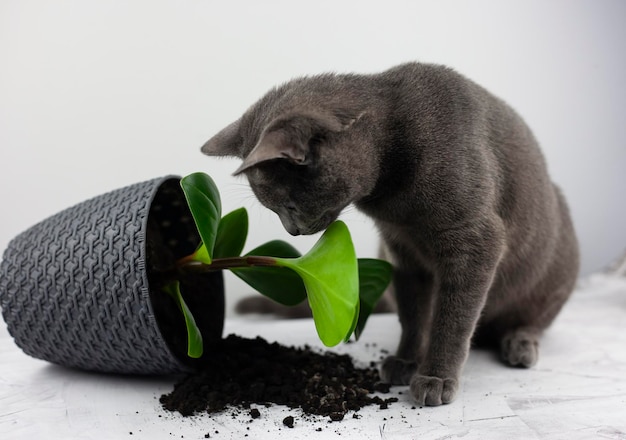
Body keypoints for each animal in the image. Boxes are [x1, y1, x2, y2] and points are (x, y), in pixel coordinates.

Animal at [200, 62, 576, 406]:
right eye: (277, 210)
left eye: (288, 206)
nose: (291, 231)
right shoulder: (401, 249)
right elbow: (413, 313)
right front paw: (406, 360)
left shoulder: (475, 240)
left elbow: (453, 317)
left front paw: (435, 377)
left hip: (553, 272)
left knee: (531, 319)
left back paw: (519, 344)